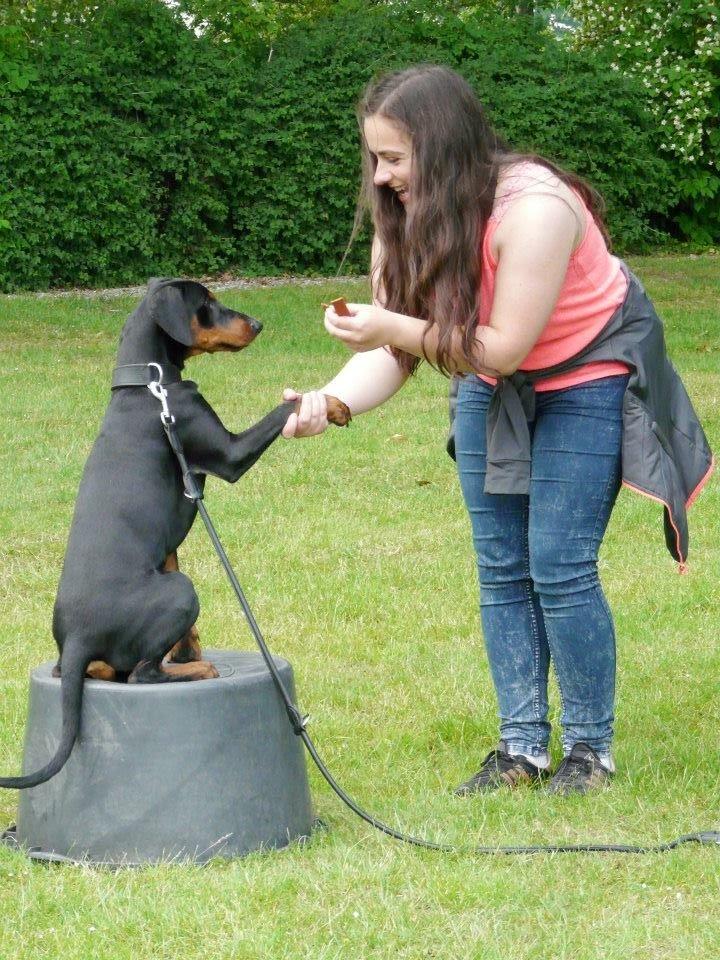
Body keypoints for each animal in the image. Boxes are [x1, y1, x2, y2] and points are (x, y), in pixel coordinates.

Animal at [0, 276, 348, 788]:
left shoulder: (169, 543)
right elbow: (285, 407)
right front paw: (332, 404)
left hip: (93, 645)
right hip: (181, 590)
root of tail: (79, 636)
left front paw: (186, 650)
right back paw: (200, 670)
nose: (258, 323)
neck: (151, 385)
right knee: (141, 676)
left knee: (97, 670)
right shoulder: (228, 454)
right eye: (207, 304)